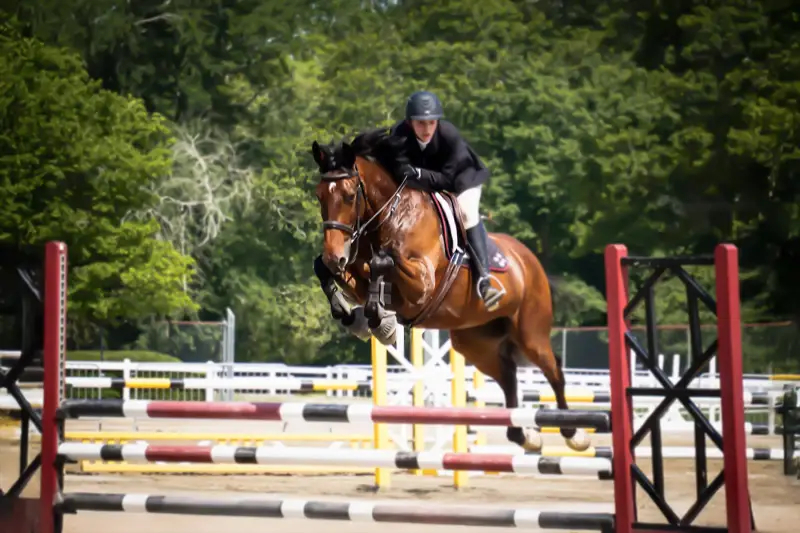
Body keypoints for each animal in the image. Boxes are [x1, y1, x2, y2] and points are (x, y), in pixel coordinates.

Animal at [309, 128, 591, 453]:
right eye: (319, 196)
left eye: (350, 195)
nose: (335, 255)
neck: (392, 216)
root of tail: (530, 261)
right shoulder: (356, 271)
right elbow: (327, 269)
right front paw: (352, 315)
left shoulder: (421, 285)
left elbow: (383, 262)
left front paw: (383, 323)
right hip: (474, 343)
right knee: (508, 375)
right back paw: (525, 436)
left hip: (531, 333)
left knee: (554, 369)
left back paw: (573, 433)